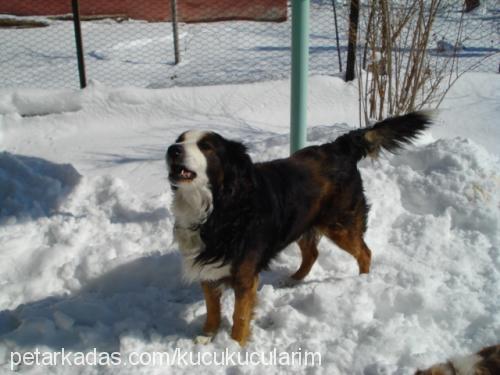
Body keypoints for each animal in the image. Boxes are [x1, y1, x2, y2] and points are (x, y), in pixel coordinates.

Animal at [166, 111, 432, 346]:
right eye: (180, 138)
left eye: (206, 146)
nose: (172, 149)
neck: (218, 205)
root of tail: (339, 147)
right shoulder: (207, 268)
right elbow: (212, 309)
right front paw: (207, 336)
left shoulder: (244, 276)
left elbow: (239, 316)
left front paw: (235, 346)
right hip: (303, 221)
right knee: (312, 253)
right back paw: (294, 279)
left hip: (339, 224)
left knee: (365, 252)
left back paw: (363, 282)